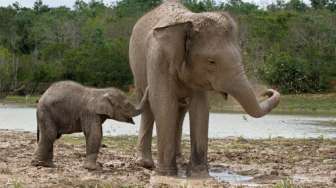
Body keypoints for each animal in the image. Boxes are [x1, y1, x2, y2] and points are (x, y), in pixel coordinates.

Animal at [130, 0, 280, 176]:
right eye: (211, 61)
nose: (267, 91)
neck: (189, 22)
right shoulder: (159, 60)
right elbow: (164, 104)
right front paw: (166, 174)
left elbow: (200, 107)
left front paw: (198, 174)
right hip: (137, 68)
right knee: (148, 104)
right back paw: (145, 164)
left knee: (181, 110)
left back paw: (179, 160)